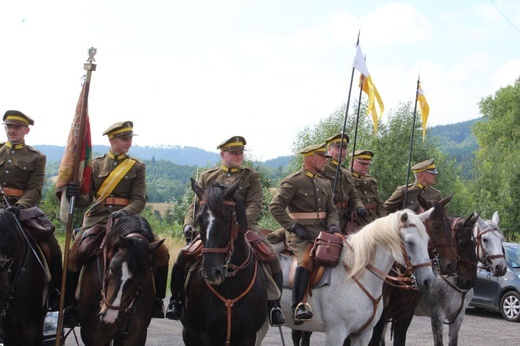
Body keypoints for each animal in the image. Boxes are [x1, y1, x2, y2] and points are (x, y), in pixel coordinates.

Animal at [180, 178, 268, 346]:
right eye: (199, 219)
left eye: (226, 219)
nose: (210, 272)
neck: (230, 286)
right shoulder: (203, 334)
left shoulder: (249, 336)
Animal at [258, 208, 434, 346]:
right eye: (410, 242)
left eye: (427, 240)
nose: (428, 280)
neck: (355, 276)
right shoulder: (336, 333)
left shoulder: (363, 335)